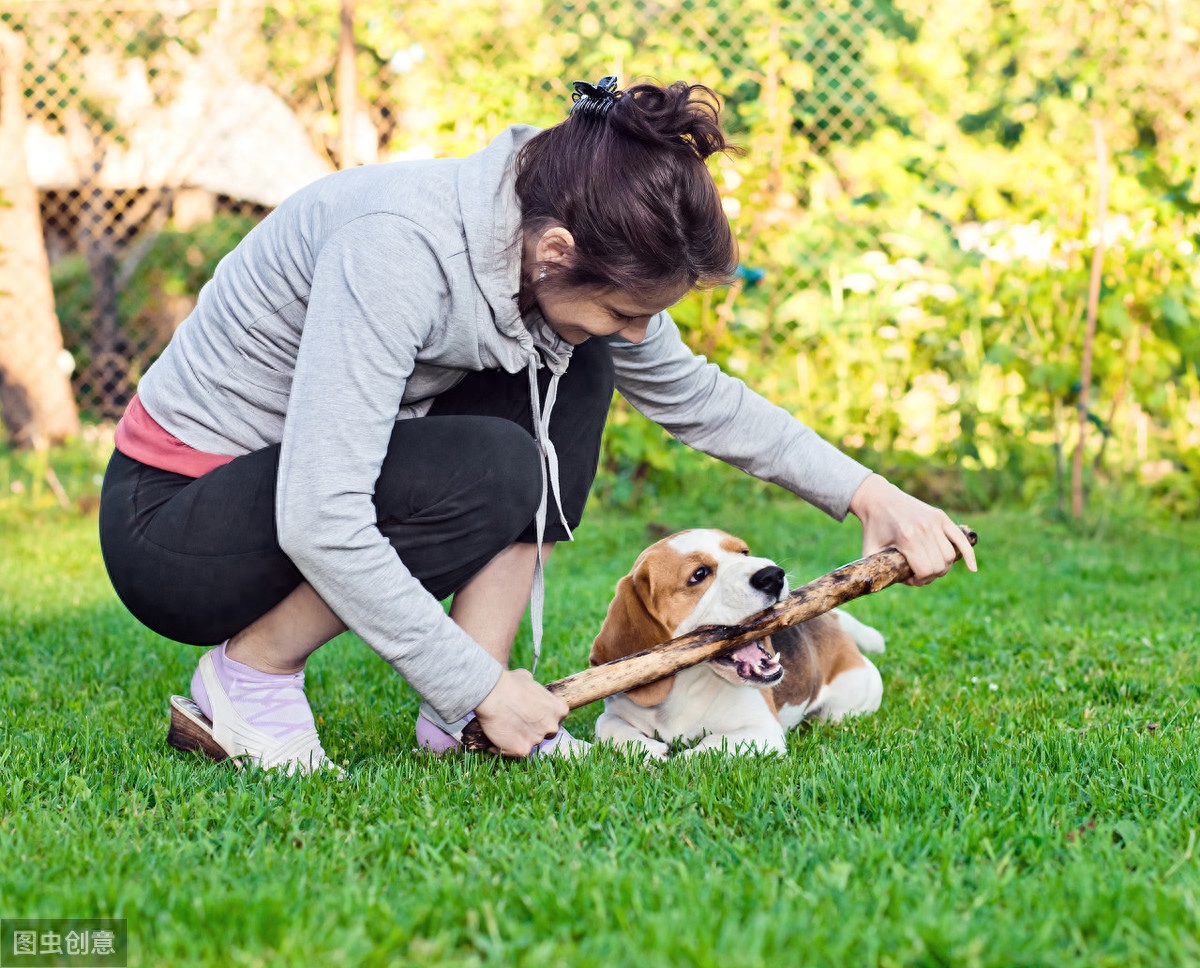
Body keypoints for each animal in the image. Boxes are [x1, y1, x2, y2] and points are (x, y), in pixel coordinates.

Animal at [585, 530, 888, 758]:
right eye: (699, 574)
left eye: (744, 552)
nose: (773, 574)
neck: (685, 688)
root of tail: (832, 619)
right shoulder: (616, 709)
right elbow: (606, 724)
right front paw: (645, 749)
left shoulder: (762, 731)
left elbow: (707, 746)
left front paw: (678, 759)